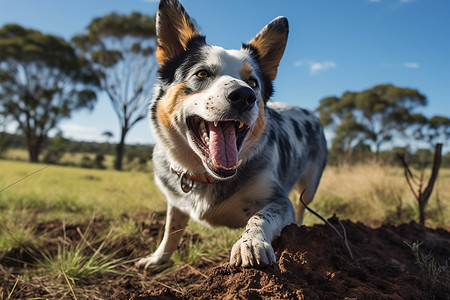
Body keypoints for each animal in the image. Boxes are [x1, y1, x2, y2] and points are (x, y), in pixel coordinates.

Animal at [135, 0, 326, 268]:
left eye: (253, 82)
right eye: (202, 73)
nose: (244, 96)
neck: (207, 177)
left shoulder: (280, 201)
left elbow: (259, 217)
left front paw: (251, 243)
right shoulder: (175, 203)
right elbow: (171, 231)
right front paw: (157, 258)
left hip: (309, 188)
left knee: (301, 209)